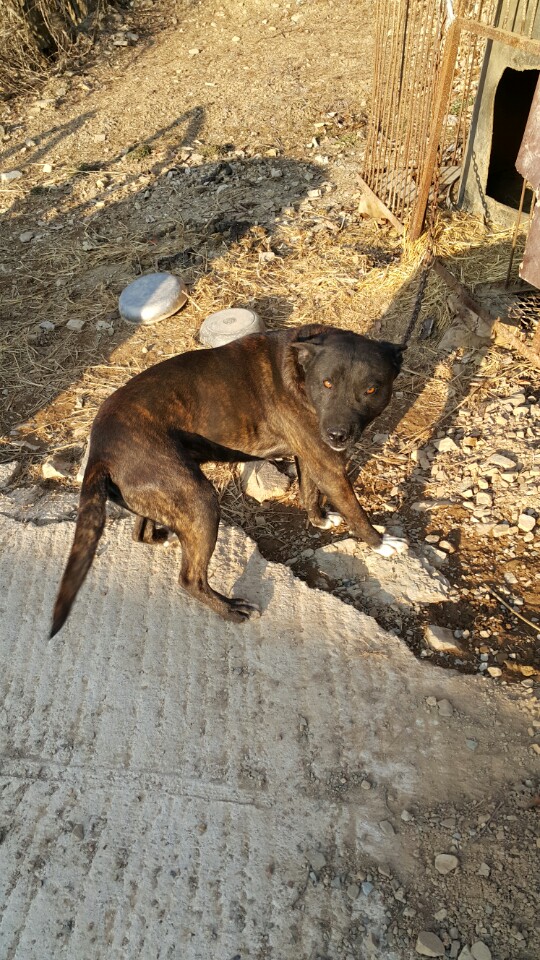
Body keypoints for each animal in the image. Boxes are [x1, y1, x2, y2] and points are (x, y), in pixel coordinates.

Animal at [50, 324, 407, 636]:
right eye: (327, 383)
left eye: (371, 389)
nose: (337, 434)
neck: (300, 369)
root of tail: (99, 449)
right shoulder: (328, 464)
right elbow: (354, 509)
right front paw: (381, 543)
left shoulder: (312, 456)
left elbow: (309, 491)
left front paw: (319, 520)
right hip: (199, 498)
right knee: (189, 578)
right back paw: (230, 609)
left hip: (162, 491)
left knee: (141, 532)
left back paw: (165, 537)